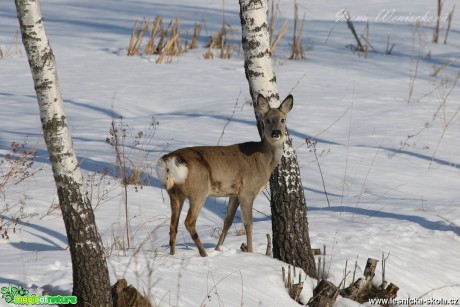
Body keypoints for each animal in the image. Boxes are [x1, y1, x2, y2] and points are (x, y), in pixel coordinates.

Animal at [155, 94, 292, 258]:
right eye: (267, 120)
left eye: (283, 119)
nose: (276, 133)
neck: (263, 160)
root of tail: (169, 161)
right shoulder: (247, 191)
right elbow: (248, 222)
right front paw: (250, 252)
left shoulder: (234, 193)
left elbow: (228, 220)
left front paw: (218, 249)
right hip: (199, 189)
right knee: (189, 222)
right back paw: (204, 254)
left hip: (174, 193)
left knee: (173, 225)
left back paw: (173, 254)